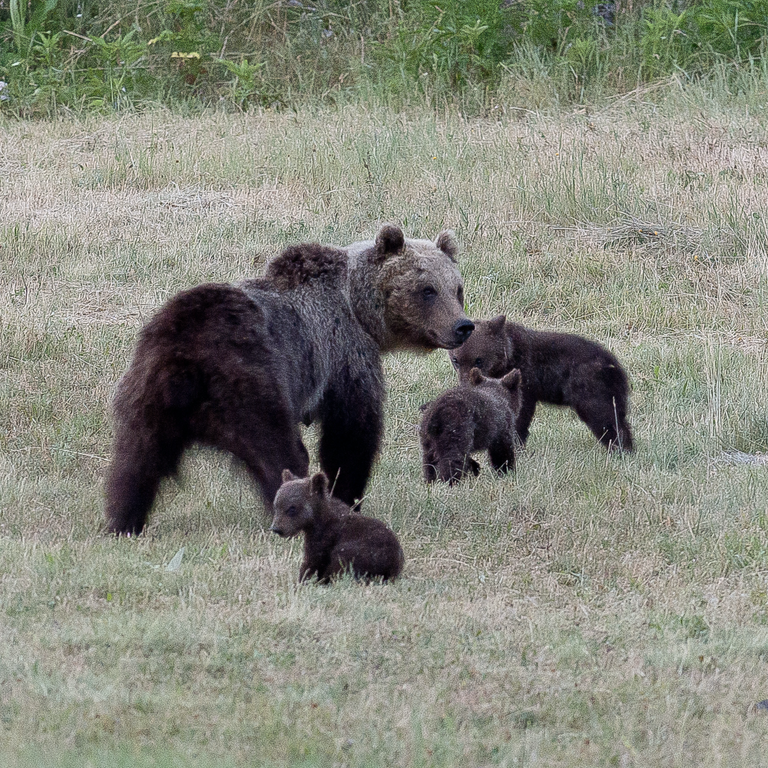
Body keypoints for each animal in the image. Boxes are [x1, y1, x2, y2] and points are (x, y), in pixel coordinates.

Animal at [105, 222, 472, 536]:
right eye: (427, 290)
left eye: (457, 289)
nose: (462, 326)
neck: (359, 309)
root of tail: (185, 364)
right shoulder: (343, 353)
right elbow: (351, 433)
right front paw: (347, 497)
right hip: (251, 383)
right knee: (278, 452)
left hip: (146, 392)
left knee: (134, 463)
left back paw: (123, 521)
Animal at [270, 468, 404, 584]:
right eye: (276, 505)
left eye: (292, 508)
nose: (276, 528)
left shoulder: (324, 538)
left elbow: (313, 561)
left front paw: (303, 580)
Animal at [448, 316, 632, 452]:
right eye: (456, 360)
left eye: (479, 360)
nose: (465, 385)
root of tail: (616, 367)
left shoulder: (525, 381)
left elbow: (520, 414)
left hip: (591, 390)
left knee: (605, 418)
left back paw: (619, 449)